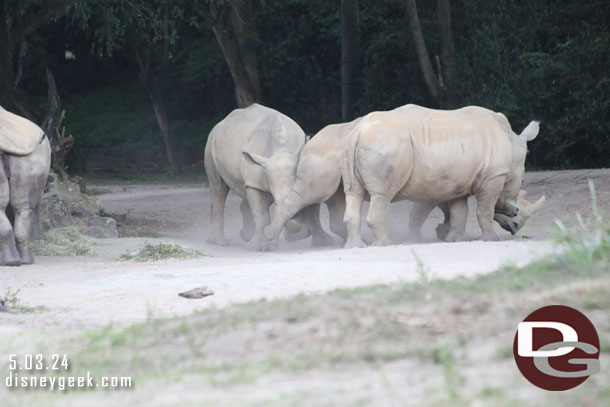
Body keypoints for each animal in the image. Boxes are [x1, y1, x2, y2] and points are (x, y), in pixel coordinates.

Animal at [342, 105, 536, 249]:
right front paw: (491, 239)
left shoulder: (458, 182)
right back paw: (385, 244)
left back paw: (355, 246)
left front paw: (458, 240)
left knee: (353, 194)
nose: (516, 219)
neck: (513, 145)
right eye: (522, 181)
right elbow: (484, 210)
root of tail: (358, 130)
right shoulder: (494, 175)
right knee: (382, 196)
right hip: (386, 143)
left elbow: (459, 212)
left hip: (355, 147)